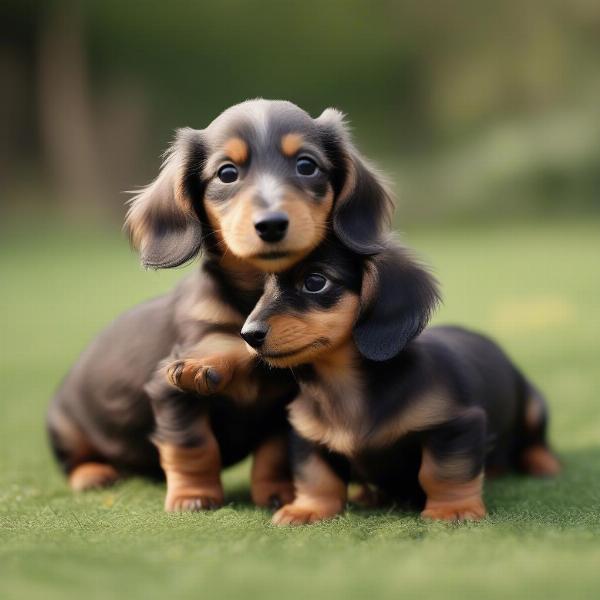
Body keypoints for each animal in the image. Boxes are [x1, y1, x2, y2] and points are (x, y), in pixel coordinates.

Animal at [48, 98, 394, 510]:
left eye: (306, 165)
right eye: (227, 173)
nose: (272, 224)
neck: (256, 297)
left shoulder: (282, 408)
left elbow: (273, 453)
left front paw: (276, 493)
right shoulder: (169, 392)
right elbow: (192, 445)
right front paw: (193, 496)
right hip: (64, 426)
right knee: (75, 460)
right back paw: (93, 473)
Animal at [240, 237, 564, 524]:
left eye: (315, 282)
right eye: (264, 289)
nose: (248, 335)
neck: (344, 386)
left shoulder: (454, 426)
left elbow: (442, 472)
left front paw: (452, 509)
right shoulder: (306, 436)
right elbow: (316, 478)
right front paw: (308, 509)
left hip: (534, 406)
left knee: (535, 442)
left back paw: (544, 464)